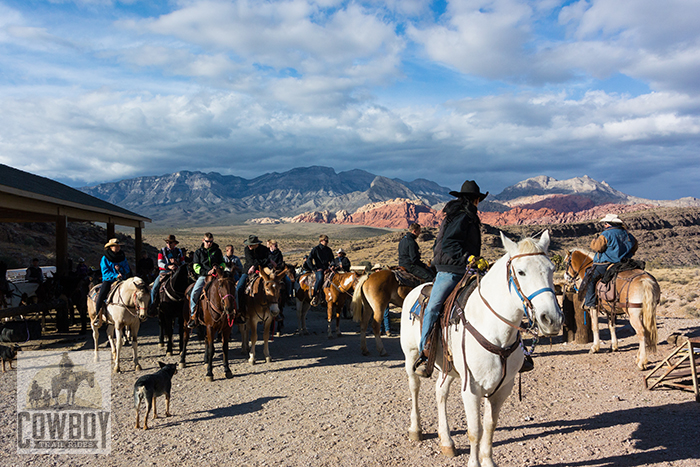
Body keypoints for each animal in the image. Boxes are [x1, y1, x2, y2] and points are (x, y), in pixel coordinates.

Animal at [400, 232, 564, 462]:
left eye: (551, 268)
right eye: (521, 272)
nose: (552, 319)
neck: (494, 330)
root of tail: (414, 290)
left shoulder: (502, 387)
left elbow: (490, 425)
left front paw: (488, 461)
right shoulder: (471, 388)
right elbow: (475, 430)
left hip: (448, 367)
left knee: (440, 392)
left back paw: (446, 441)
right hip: (411, 356)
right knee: (414, 387)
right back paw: (416, 429)